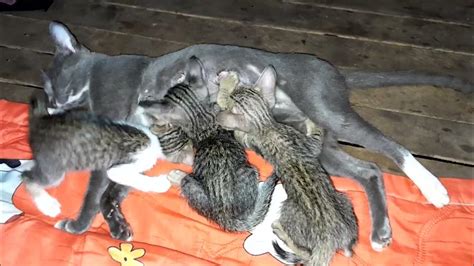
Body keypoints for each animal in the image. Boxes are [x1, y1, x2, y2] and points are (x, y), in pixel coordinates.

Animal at [23, 94, 172, 221]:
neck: (150, 135)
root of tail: (39, 124)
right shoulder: (126, 164)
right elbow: (129, 176)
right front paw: (158, 184)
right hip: (53, 170)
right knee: (27, 177)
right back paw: (47, 204)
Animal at [139, 57, 278, 232]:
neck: (200, 118)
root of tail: (223, 216)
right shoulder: (221, 114)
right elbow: (221, 98)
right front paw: (228, 81)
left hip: (192, 184)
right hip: (248, 170)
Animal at [217, 67, 358, 266]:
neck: (265, 125)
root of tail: (327, 242)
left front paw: (227, 85)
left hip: (334, 202)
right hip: (304, 206)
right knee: (310, 254)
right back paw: (281, 231)